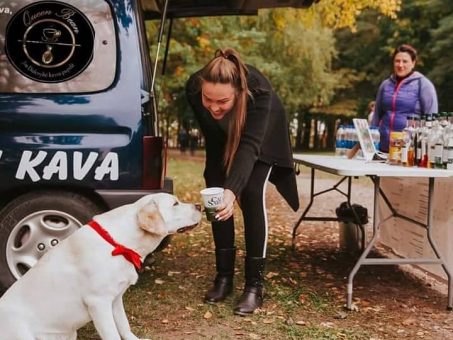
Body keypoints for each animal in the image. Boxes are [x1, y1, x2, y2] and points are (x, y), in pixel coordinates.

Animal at [0, 194, 200, 340]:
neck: (117, 244)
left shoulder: (116, 298)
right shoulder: (98, 302)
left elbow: (124, 326)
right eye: (175, 203)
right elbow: (112, 335)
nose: (199, 206)